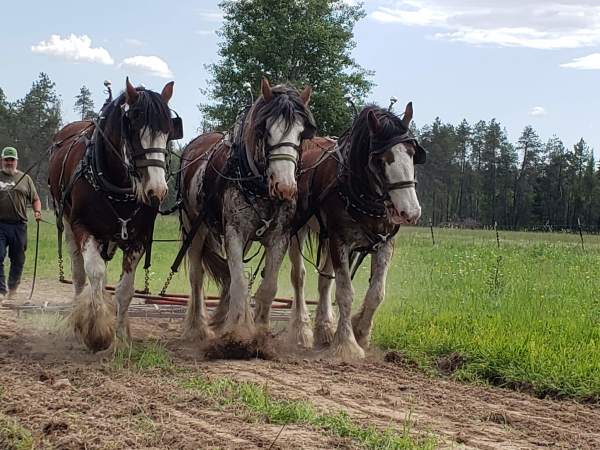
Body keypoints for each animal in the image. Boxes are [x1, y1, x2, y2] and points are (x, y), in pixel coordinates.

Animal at [48, 78, 179, 352]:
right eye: (134, 127)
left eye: (168, 132)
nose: (157, 190)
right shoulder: (82, 226)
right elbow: (96, 273)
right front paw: (97, 331)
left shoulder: (138, 236)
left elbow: (125, 289)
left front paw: (120, 335)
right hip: (67, 223)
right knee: (79, 275)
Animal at [180, 79, 316, 350]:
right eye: (266, 131)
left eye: (301, 133)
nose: (285, 187)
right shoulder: (234, 233)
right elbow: (241, 283)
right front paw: (238, 331)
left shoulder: (279, 236)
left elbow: (268, 286)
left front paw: (260, 332)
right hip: (194, 227)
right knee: (197, 275)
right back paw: (197, 327)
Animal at [288, 102, 424, 358]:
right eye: (380, 160)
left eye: (412, 154)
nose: (409, 212)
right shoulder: (339, 241)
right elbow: (345, 292)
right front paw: (346, 344)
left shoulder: (385, 243)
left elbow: (376, 293)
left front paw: (361, 331)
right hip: (297, 230)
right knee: (298, 277)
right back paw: (301, 330)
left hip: (326, 237)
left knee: (324, 281)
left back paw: (324, 328)